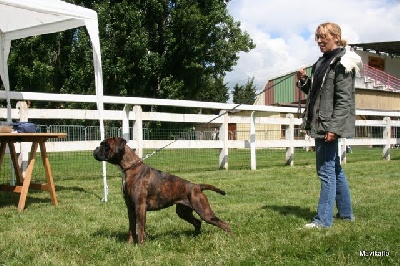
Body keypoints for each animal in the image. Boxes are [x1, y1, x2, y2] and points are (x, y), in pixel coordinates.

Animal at [93, 138, 231, 244]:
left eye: (105, 145)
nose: (95, 149)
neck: (130, 168)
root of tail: (196, 186)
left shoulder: (140, 206)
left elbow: (140, 228)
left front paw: (141, 246)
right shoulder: (130, 208)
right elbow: (132, 228)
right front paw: (129, 244)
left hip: (204, 211)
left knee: (224, 224)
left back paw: (230, 238)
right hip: (183, 212)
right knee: (197, 222)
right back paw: (195, 236)